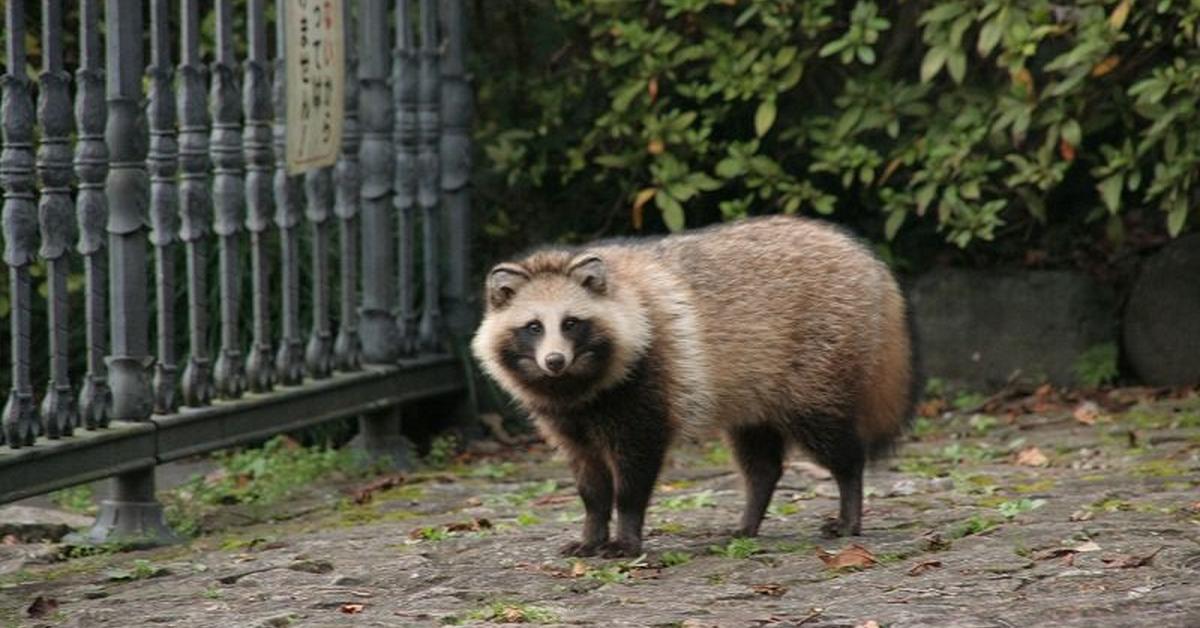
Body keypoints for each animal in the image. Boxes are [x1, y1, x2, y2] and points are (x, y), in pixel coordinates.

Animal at [472, 217, 912, 559]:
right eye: (533, 327)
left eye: (571, 323)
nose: (554, 361)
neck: (575, 384)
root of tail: (866, 258)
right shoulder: (568, 419)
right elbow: (590, 482)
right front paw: (592, 532)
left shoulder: (646, 388)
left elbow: (634, 473)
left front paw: (626, 535)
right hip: (753, 389)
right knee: (761, 461)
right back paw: (749, 519)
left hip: (817, 363)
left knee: (833, 441)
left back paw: (849, 502)